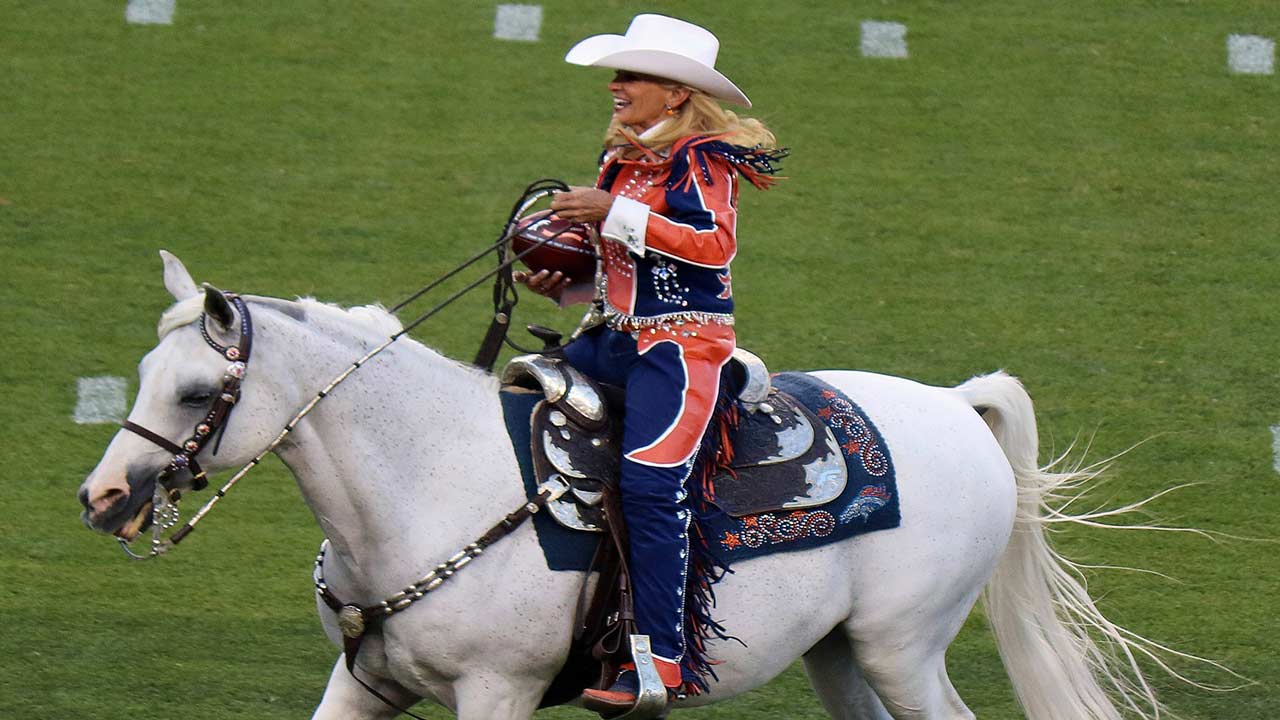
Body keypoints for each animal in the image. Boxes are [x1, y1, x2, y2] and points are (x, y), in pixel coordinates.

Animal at [80, 253, 1172, 717]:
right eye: (141, 372)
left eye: (195, 391)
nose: (102, 498)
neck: (423, 485)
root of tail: (954, 404)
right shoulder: (364, 684)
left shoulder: (497, 693)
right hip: (842, 656)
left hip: (902, 650)